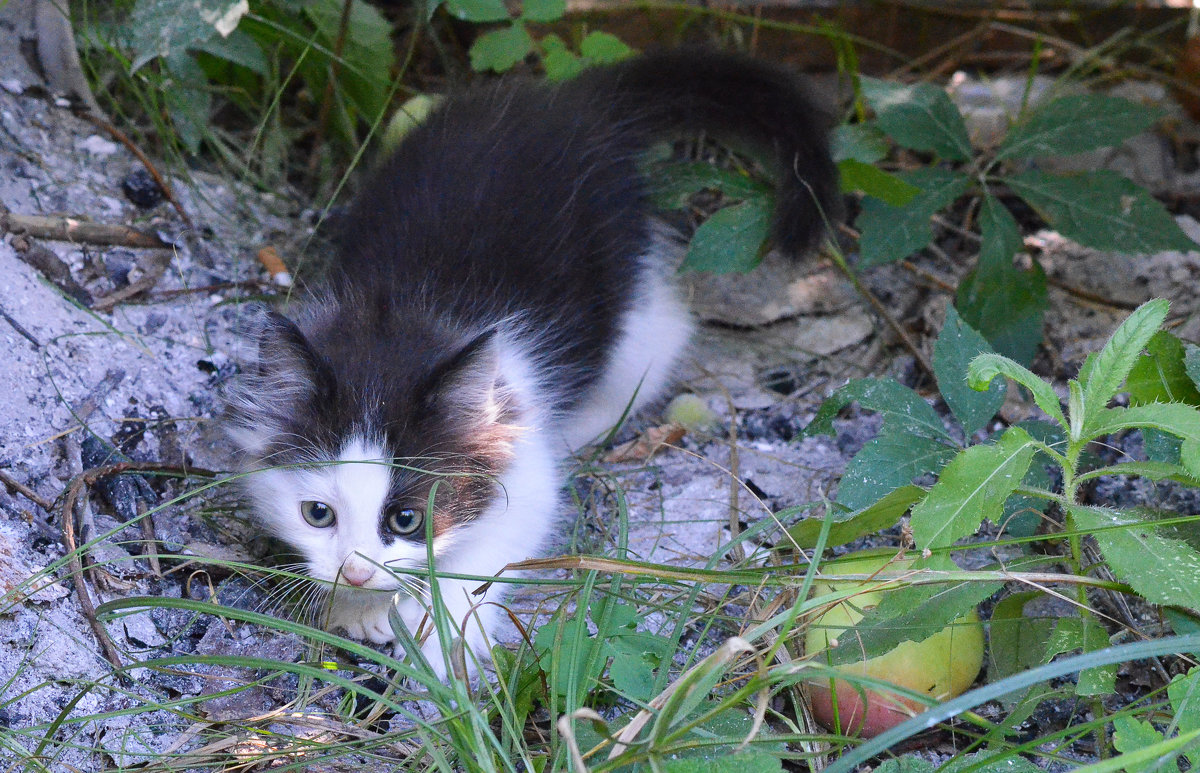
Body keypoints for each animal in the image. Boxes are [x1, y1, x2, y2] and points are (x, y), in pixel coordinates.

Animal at [229, 49, 840, 676]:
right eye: (317, 514)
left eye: (405, 520)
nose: (355, 570)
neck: (398, 315)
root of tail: (572, 99)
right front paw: (356, 607)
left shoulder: (525, 478)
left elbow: (491, 555)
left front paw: (442, 645)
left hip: (620, 277)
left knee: (665, 334)